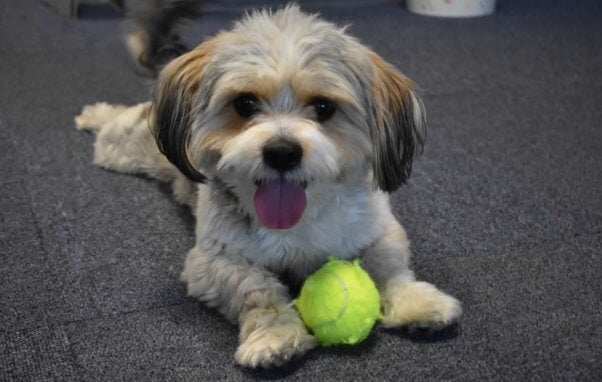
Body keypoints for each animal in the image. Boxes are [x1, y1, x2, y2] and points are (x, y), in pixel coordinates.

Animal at [75, 5, 460, 370]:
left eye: (324, 107)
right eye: (245, 103)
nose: (282, 151)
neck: (298, 219)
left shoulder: (378, 227)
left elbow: (389, 265)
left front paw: (416, 301)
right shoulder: (212, 261)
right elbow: (256, 288)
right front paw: (276, 335)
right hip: (125, 147)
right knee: (113, 123)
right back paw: (94, 115)